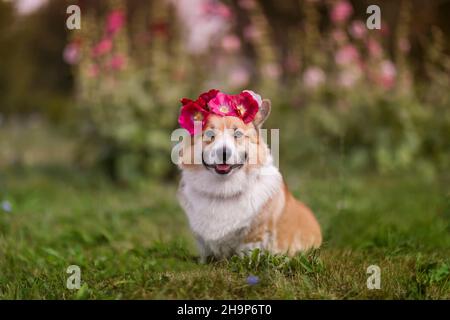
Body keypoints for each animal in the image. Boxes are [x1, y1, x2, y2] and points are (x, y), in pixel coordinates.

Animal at [176, 89, 320, 260]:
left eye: (237, 134)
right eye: (210, 134)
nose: (223, 153)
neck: (224, 192)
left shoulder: (254, 236)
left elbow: (247, 253)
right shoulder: (203, 242)